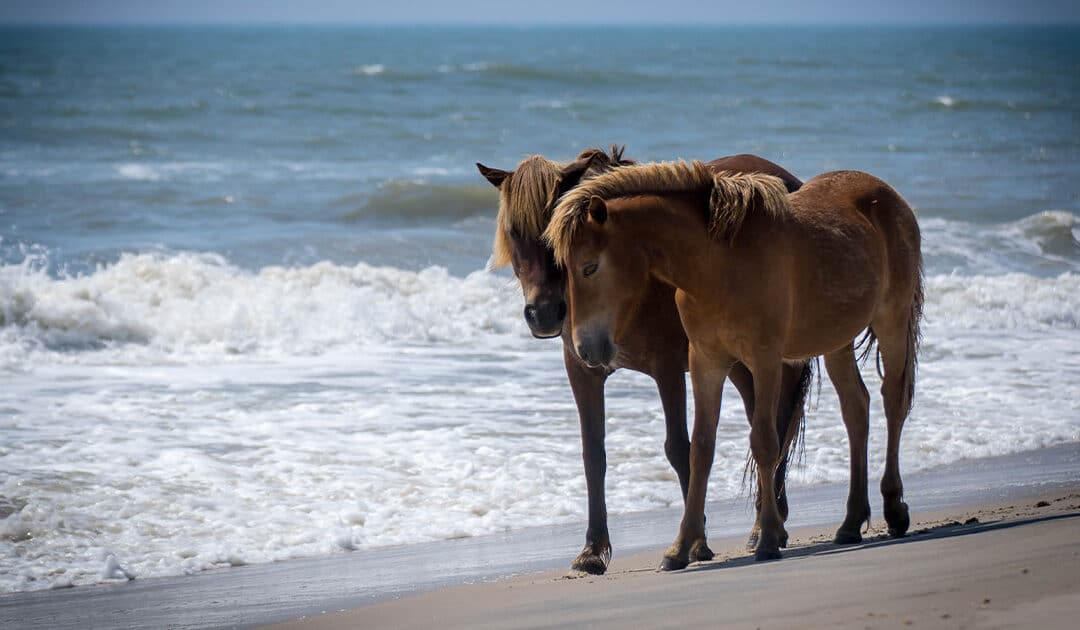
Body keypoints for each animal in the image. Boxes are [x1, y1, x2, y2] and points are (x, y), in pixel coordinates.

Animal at [477, 150, 812, 574]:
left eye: (551, 230)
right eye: (513, 232)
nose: (544, 314)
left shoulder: (667, 369)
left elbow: (680, 448)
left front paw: (695, 542)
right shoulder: (583, 372)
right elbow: (593, 454)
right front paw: (592, 550)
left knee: (776, 425)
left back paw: (765, 528)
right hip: (738, 363)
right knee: (765, 422)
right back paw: (771, 523)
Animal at [544, 159, 924, 570]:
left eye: (589, 268)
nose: (585, 350)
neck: (719, 264)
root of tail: (888, 194)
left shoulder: (766, 359)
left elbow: (765, 442)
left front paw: (768, 538)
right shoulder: (706, 361)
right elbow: (700, 448)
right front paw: (682, 547)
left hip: (891, 319)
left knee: (892, 401)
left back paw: (895, 510)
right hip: (837, 341)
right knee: (856, 408)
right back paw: (851, 523)